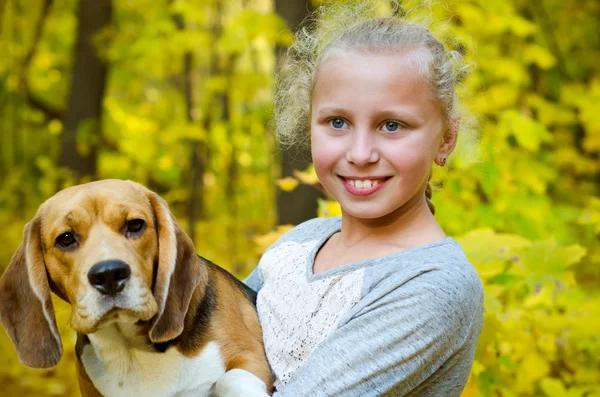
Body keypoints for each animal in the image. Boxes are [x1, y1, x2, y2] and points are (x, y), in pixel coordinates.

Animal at [0, 180, 272, 396]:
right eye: (65, 238)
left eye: (135, 225)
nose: (109, 274)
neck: (131, 348)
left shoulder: (251, 358)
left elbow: (228, 379)